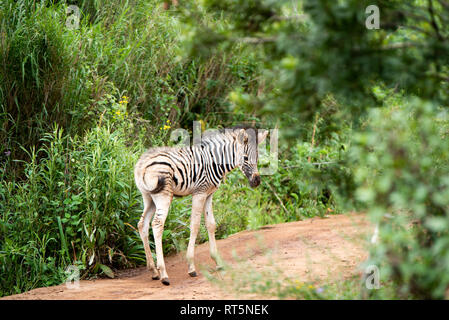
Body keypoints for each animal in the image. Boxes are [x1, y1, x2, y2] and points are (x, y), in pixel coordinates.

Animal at [133, 127, 266, 284]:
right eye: (245, 158)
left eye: (257, 158)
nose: (257, 181)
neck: (215, 161)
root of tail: (141, 164)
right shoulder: (200, 193)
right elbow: (195, 225)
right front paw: (191, 267)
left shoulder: (209, 194)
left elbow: (211, 224)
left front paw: (218, 262)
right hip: (163, 195)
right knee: (157, 224)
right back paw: (164, 274)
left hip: (148, 197)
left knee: (142, 224)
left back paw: (153, 271)